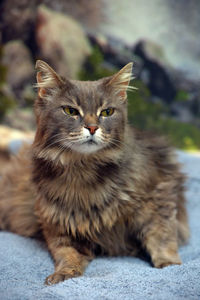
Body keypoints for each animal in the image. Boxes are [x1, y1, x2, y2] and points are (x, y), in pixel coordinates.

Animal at [0, 59, 189, 284]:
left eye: (106, 112)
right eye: (71, 111)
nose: (91, 128)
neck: (83, 169)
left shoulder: (159, 197)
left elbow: (162, 238)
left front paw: (170, 265)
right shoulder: (59, 223)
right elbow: (67, 255)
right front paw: (64, 274)